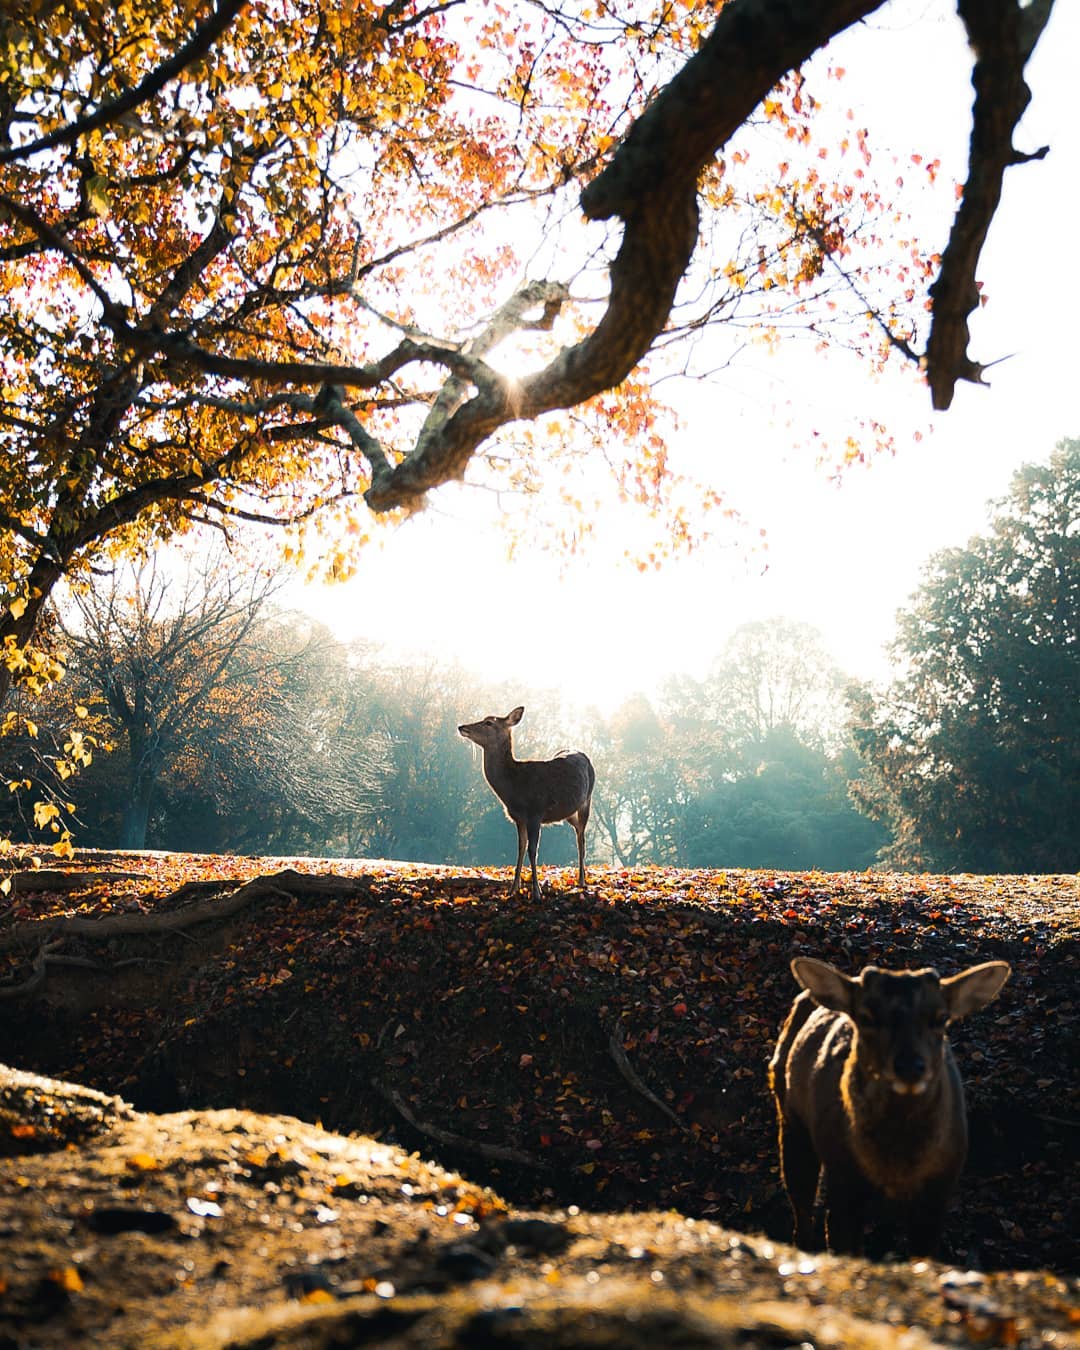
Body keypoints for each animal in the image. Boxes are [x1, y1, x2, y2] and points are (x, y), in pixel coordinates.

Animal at [453, 702, 594, 901]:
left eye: (489, 722)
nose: (462, 727)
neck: (515, 789)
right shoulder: (518, 818)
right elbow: (520, 848)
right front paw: (513, 889)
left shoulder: (536, 812)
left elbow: (532, 850)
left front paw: (536, 892)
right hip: (568, 813)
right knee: (578, 833)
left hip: (587, 801)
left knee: (581, 838)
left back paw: (582, 882)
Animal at [766, 955, 1015, 1258]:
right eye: (866, 1016)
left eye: (940, 1018)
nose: (909, 1066)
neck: (896, 1168)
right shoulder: (843, 1182)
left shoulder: (940, 1189)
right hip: (791, 1117)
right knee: (801, 1203)